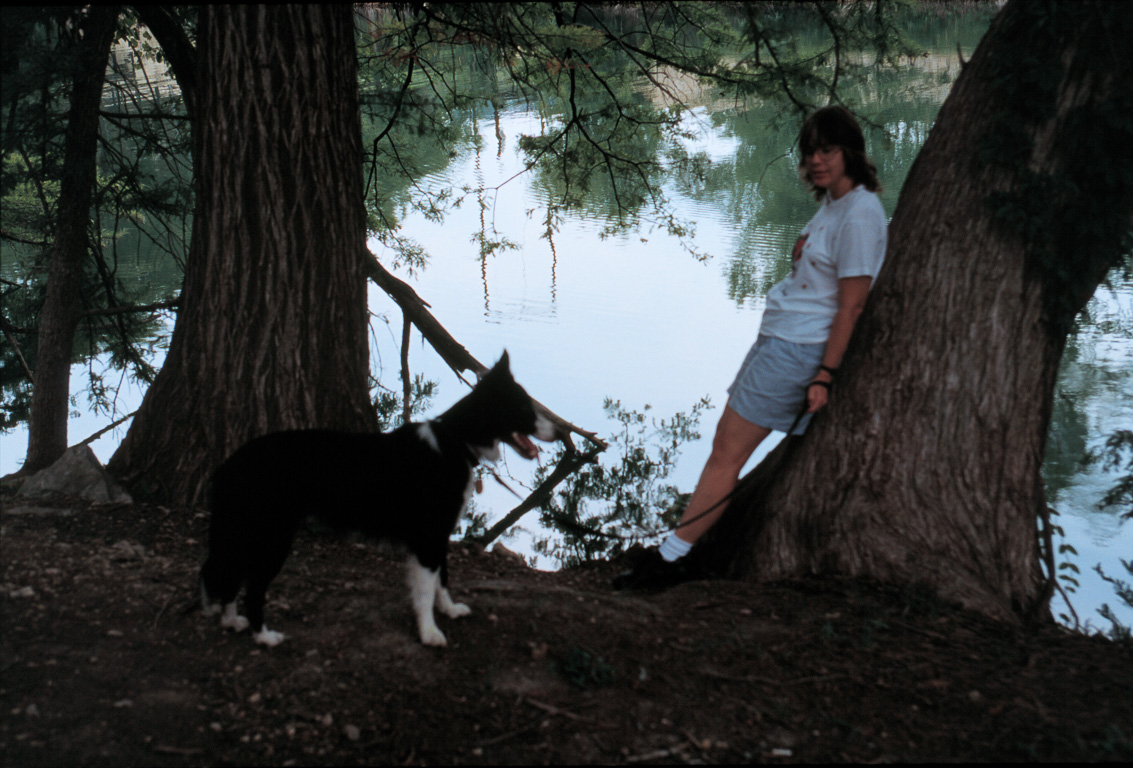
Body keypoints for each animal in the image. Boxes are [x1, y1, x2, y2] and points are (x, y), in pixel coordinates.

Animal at [202, 355, 561, 647]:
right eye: (525, 407)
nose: (559, 432)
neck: (455, 442)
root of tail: (229, 465)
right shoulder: (428, 537)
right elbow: (425, 589)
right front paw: (429, 633)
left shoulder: (438, 535)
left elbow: (442, 579)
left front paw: (448, 610)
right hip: (273, 539)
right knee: (252, 588)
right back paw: (264, 637)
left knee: (230, 576)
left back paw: (232, 621)